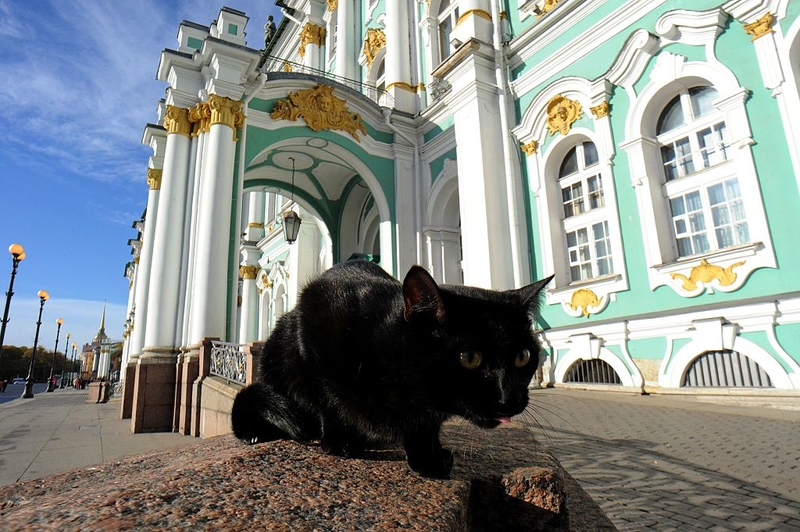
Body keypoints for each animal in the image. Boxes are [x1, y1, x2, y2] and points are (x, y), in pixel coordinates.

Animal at [233, 260, 552, 478]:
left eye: (523, 356)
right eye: (470, 358)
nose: (510, 398)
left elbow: (426, 428)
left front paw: (428, 460)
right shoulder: (315, 319)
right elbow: (327, 400)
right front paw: (339, 443)